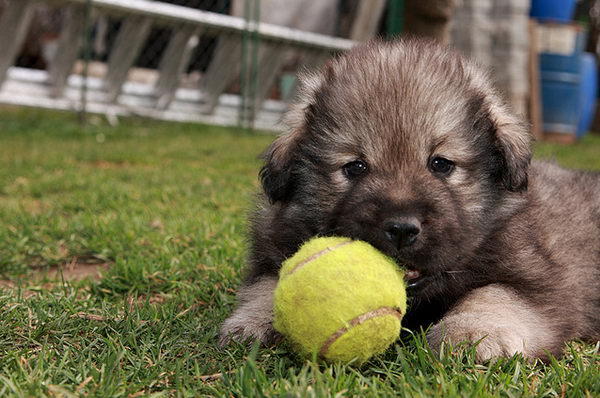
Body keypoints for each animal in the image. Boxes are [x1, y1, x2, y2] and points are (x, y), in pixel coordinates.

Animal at [220, 38, 600, 362]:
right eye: (355, 167)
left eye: (441, 164)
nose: (402, 229)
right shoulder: (274, 245)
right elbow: (270, 283)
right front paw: (254, 323)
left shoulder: (535, 280)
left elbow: (492, 295)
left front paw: (472, 334)